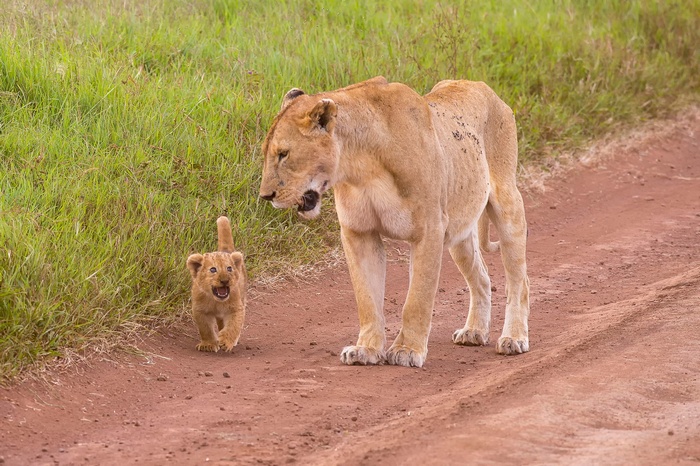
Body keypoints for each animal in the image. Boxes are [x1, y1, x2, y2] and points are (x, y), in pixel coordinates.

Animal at [186, 216, 247, 352]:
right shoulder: (200, 310)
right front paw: (208, 345)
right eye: (213, 269)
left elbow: (234, 325)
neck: (217, 301)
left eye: (229, 268)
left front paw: (225, 341)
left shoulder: (236, 308)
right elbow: (206, 329)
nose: (224, 280)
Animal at [259, 77, 530, 367]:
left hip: (508, 203)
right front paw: (366, 349)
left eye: (284, 154)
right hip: (460, 232)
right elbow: (367, 298)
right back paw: (474, 331)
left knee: (519, 281)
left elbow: (417, 299)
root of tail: (478, 83)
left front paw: (407, 350)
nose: (265, 196)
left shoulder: (429, 229)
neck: (361, 167)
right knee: (482, 279)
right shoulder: (359, 233)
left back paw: (514, 338)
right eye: (267, 153)